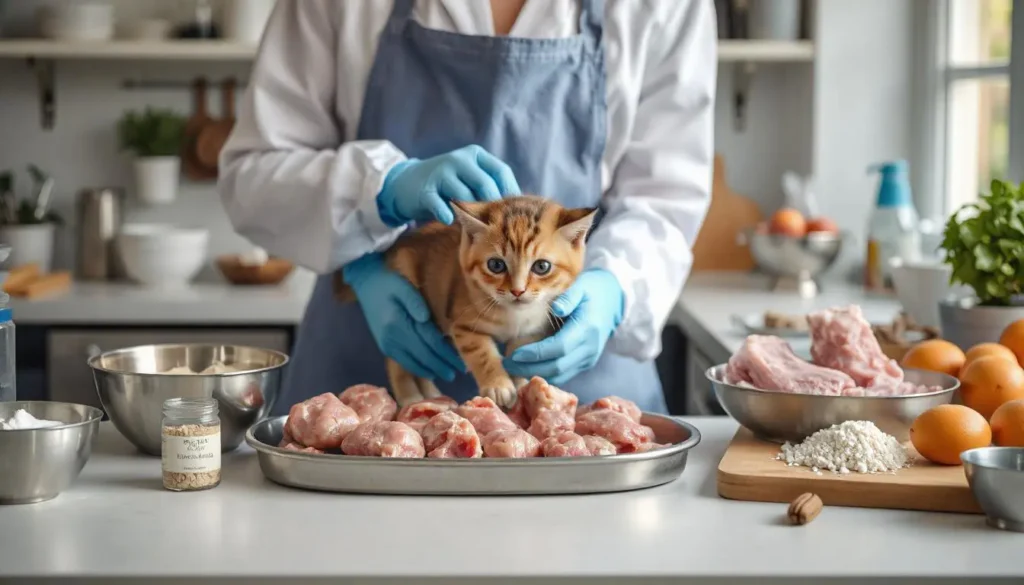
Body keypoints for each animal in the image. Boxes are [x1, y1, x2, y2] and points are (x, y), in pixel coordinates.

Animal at [337, 196, 593, 407]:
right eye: (496, 265)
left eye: (541, 267)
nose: (517, 291)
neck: (514, 315)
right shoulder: (463, 324)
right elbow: (482, 353)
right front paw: (498, 385)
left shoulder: (533, 329)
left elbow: (520, 352)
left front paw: (520, 381)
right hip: (403, 321)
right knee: (399, 359)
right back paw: (410, 396)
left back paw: (430, 394)